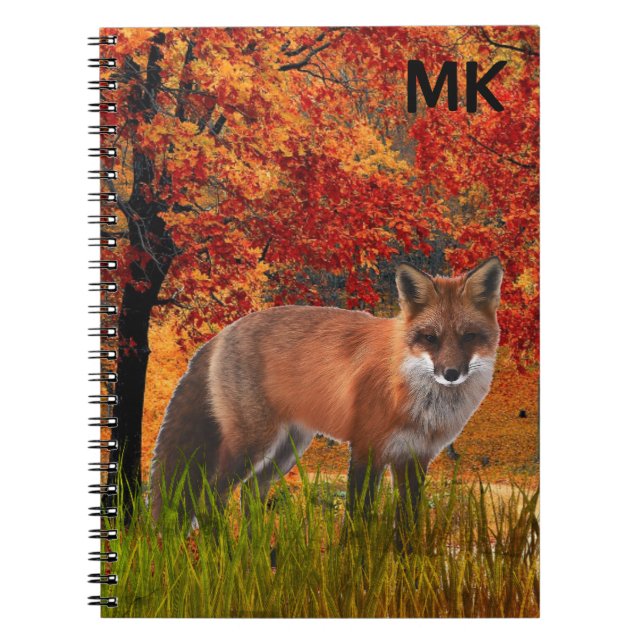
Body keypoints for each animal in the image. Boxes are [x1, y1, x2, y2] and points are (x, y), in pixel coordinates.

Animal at [150, 256, 503, 534]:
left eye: (469, 336)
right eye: (430, 338)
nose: (451, 374)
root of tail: (221, 334)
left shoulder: (414, 459)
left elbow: (408, 526)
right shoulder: (365, 449)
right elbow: (357, 520)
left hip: (287, 449)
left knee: (250, 494)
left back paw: (255, 555)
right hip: (252, 445)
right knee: (211, 498)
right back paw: (226, 557)